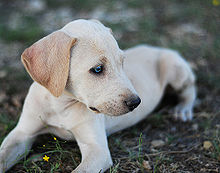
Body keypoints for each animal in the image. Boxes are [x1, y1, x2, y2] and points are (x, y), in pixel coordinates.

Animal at [0, 19, 196, 172]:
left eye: (122, 62)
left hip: (176, 70)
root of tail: (158, 47)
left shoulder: (97, 150)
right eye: (97, 69)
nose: (136, 102)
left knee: (190, 89)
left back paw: (182, 109)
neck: (61, 105)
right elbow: (3, 156)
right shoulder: (22, 134)